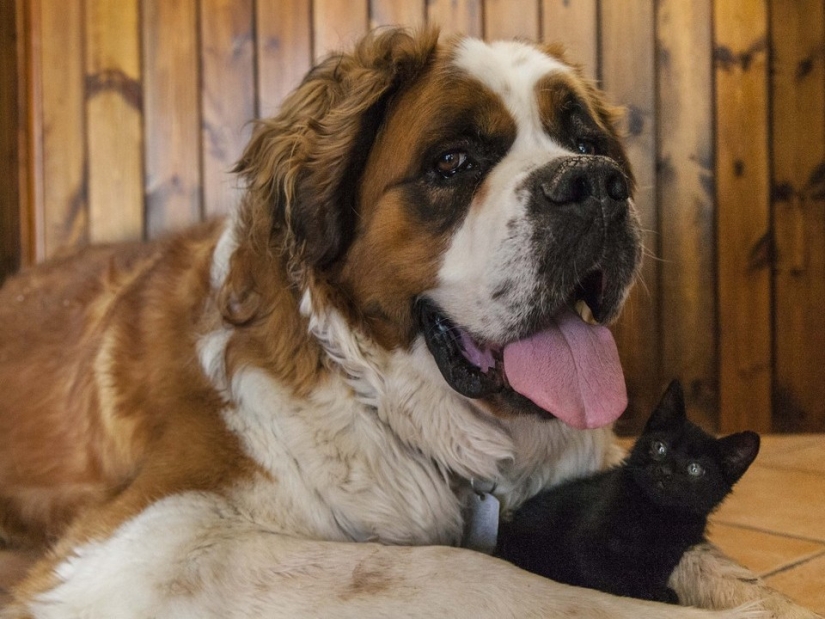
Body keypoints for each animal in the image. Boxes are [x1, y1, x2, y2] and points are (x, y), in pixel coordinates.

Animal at [496, 380, 760, 604]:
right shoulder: (587, 544)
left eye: (695, 469)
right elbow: (611, 577)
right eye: (659, 447)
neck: (655, 514)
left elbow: (650, 573)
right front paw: (649, 595)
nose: (664, 471)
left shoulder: (668, 555)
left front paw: (658, 591)